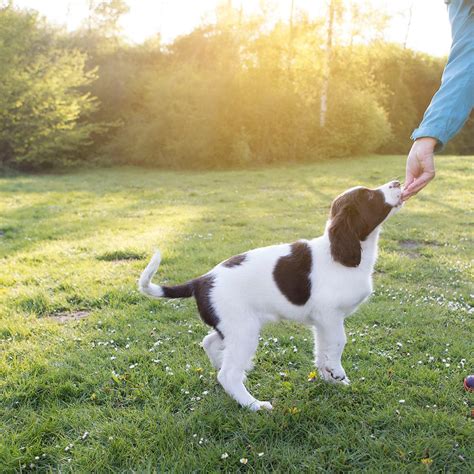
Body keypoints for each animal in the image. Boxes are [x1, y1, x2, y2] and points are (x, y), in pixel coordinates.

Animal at [139, 180, 402, 410]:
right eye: (369, 197)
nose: (398, 183)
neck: (340, 254)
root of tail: (201, 280)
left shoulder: (322, 322)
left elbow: (322, 349)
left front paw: (330, 378)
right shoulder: (329, 316)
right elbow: (338, 342)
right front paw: (337, 372)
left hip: (232, 327)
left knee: (209, 342)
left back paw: (222, 366)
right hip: (244, 331)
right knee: (228, 374)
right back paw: (254, 405)